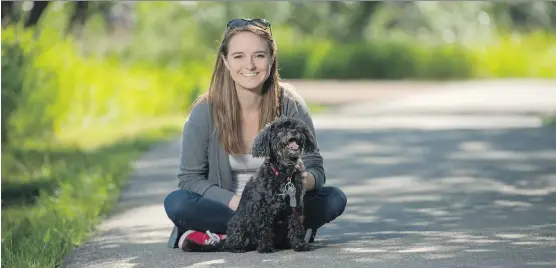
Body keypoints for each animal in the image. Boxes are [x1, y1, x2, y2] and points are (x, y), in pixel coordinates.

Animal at [222, 116, 318, 252]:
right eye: (281, 129)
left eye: (297, 127)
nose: (294, 131)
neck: (283, 174)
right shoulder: (263, 208)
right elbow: (265, 229)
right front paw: (265, 247)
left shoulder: (296, 207)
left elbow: (296, 226)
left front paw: (299, 244)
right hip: (240, 221)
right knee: (232, 240)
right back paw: (237, 247)